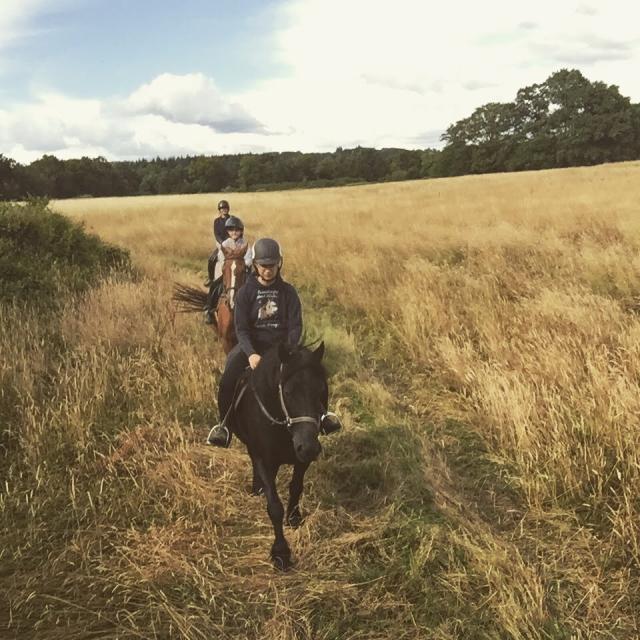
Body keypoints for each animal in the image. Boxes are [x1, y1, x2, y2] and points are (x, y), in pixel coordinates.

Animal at [230, 340, 328, 568]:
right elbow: (274, 506)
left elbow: (296, 488)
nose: (309, 447)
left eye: (321, 390)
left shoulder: (301, 460)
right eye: (289, 392)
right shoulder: (264, 459)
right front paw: (281, 553)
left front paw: (294, 518)